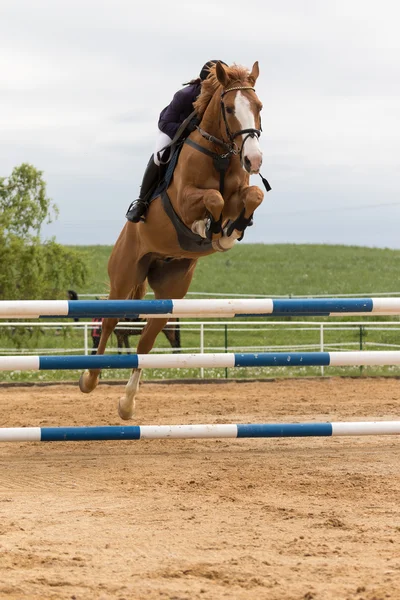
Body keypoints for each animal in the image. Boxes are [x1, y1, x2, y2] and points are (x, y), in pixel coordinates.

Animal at [79, 61, 266, 418]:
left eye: (259, 107)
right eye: (229, 108)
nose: (254, 159)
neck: (220, 155)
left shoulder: (241, 192)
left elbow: (253, 194)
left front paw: (232, 230)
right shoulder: (184, 199)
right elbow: (212, 200)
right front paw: (208, 228)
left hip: (171, 291)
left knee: (145, 342)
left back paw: (126, 404)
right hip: (124, 275)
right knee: (109, 323)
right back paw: (89, 380)